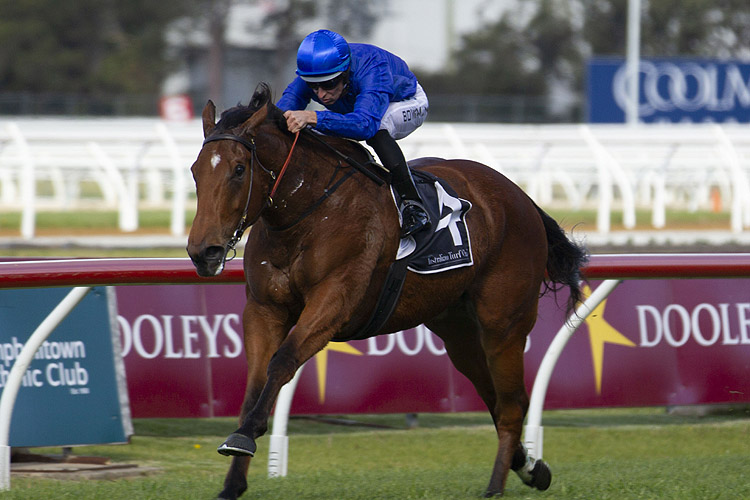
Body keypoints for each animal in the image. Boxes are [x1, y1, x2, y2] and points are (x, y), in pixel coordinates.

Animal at [187, 84, 588, 498]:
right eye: (195, 171)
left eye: (238, 169)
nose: (204, 252)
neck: (306, 211)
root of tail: (521, 198)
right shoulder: (263, 309)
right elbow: (255, 384)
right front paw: (232, 481)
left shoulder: (333, 302)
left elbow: (282, 361)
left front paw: (245, 435)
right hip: (457, 330)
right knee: (494, 396)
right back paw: (530, 468)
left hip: (503, 324)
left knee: (511, 404)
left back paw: (496, 485)